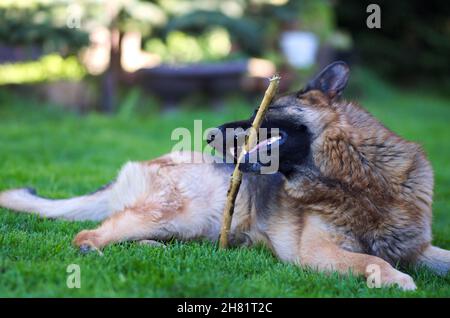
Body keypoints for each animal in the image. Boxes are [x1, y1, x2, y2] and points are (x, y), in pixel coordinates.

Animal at [0, 60, 450, 290]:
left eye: (260, 112)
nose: (211, 132)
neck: (359, 182)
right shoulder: (317, 252)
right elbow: (371, 261)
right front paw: (396, 278)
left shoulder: (420, 247)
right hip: (187, 211)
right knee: (90, 233)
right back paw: (94, 250)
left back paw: (152, 247)